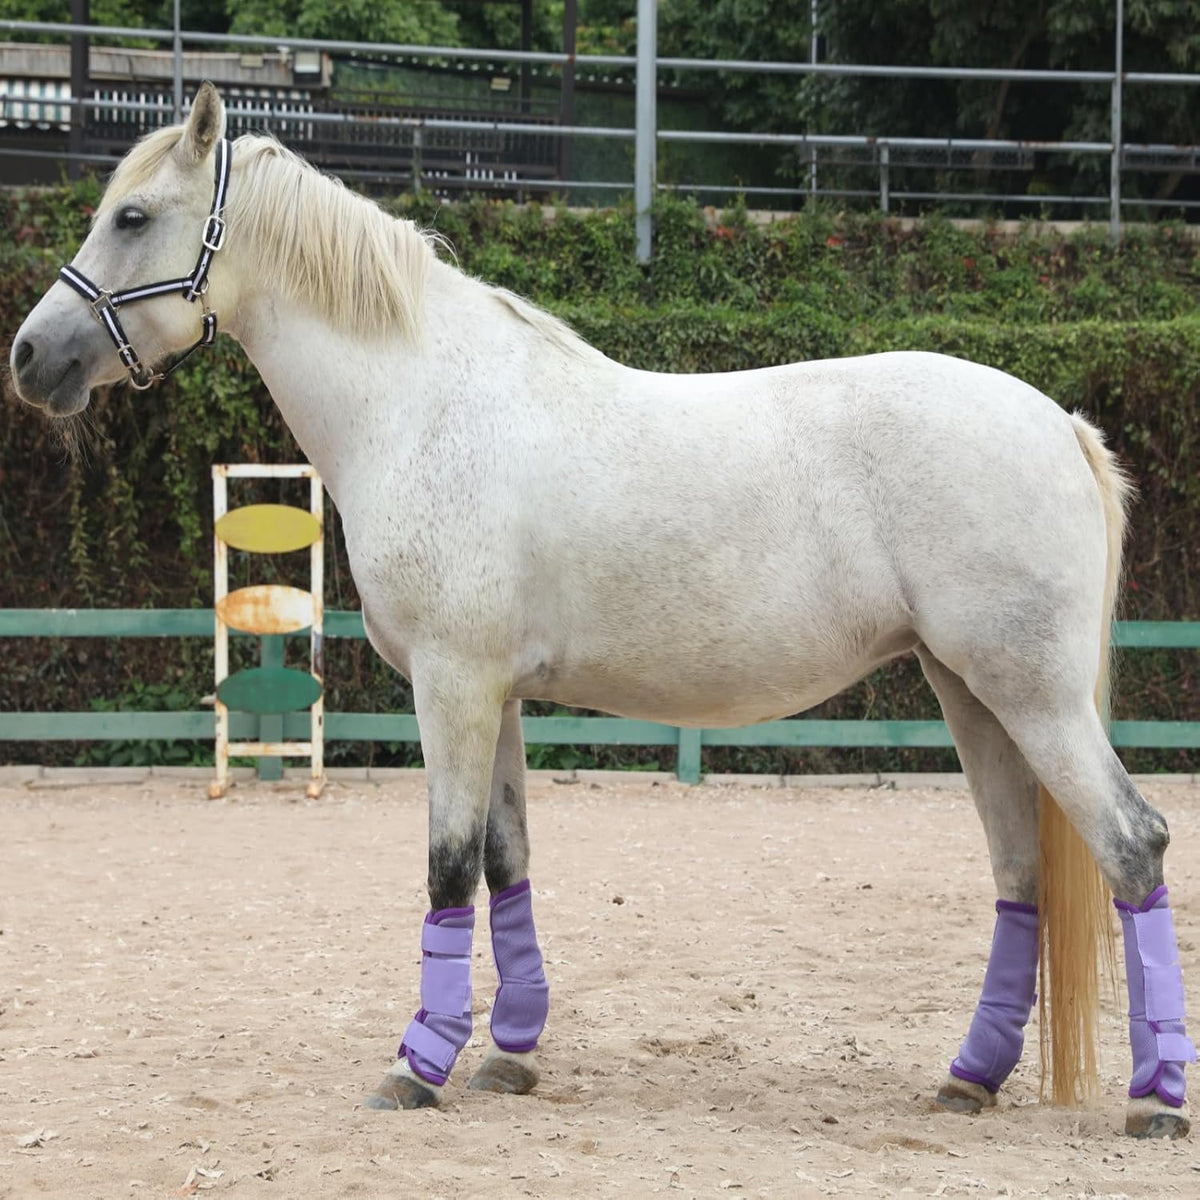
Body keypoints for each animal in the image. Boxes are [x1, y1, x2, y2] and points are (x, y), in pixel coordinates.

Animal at [10, 84, 1193, 1139]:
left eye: (131, 217)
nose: (30, 356)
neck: (421, 403)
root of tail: (1060, 424)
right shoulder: (497, 695)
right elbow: (506, 861)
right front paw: (508, 1057)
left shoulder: (451, 685)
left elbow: (447, 865)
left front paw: (419, 1067)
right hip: (972, 694)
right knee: (1021, 870)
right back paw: (969, 1079)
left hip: (1030, 698)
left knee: (1132, 845)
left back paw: (1155, 1102)